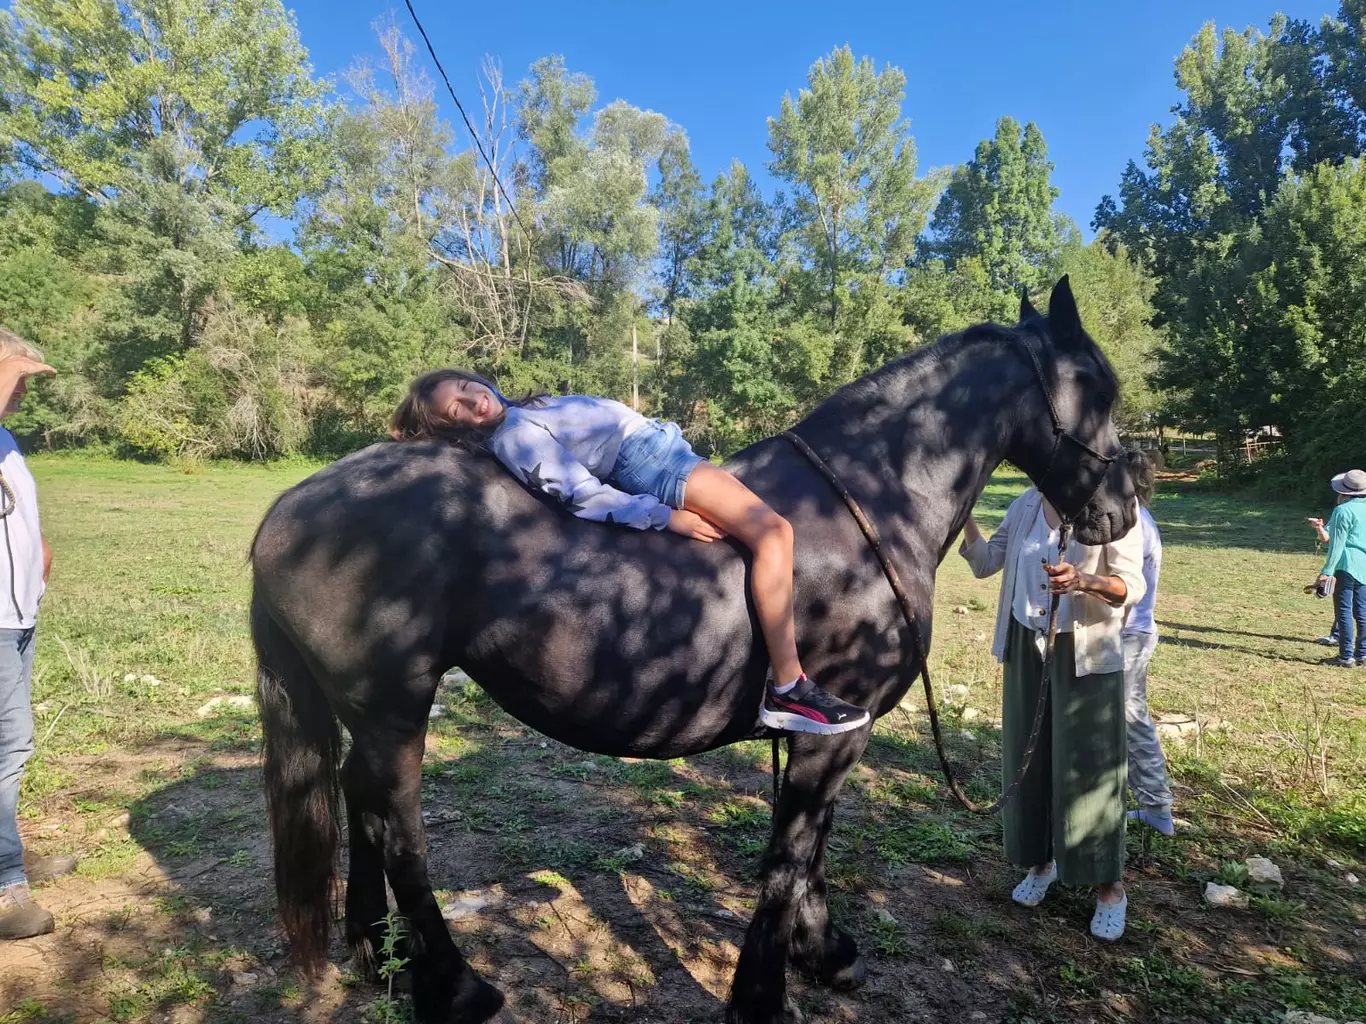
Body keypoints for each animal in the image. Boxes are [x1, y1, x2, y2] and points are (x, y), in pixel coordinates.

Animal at [249, 276, 1135, 1024]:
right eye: (1097, 387)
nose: (1121, 511)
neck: (869, 503)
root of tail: (289, 508)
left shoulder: (835, 740)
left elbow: (811, 845)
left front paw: (824, 954)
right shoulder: (834, 735)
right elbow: (790, 855)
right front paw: (764, 999)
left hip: (368, 714)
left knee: (355, 799)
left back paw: (379, 953)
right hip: (396, 708)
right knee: (393, 822)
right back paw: (456, 987)